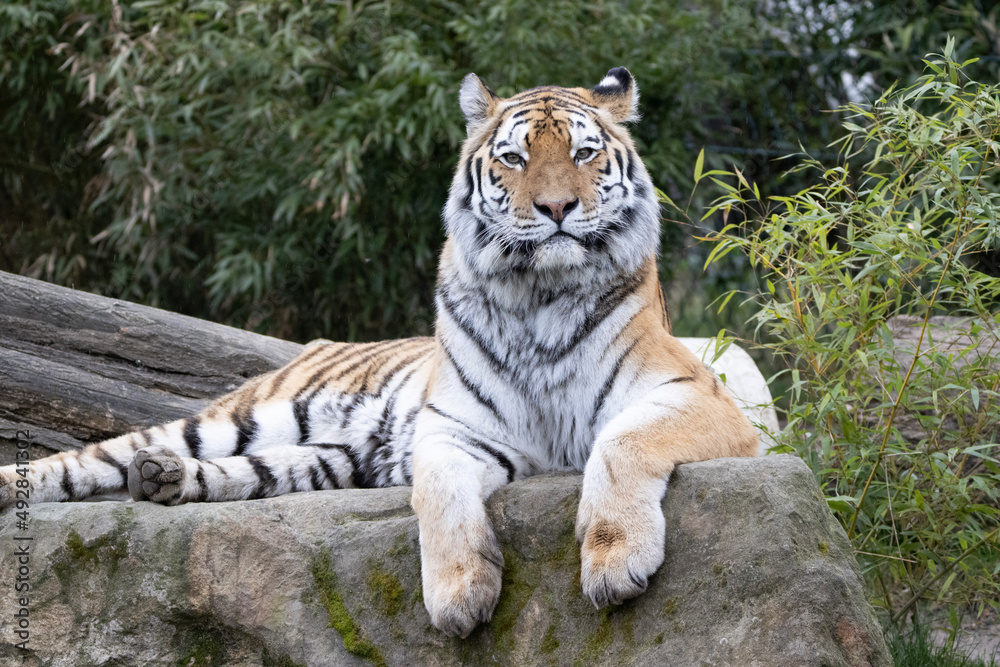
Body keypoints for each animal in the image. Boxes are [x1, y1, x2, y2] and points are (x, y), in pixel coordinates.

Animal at [0, 67, 759, 638]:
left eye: (582, 154)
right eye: (513, 158)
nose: (555, 210)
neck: (542, 296)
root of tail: (310, 343)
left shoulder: (702, 396)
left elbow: (621, 442)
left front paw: (615, 563)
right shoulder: (454, 429)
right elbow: (440, 494)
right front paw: (458, 597)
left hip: (323, 458)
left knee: (237, 472)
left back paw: (162, 479)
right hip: (242, 417)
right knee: (85, 460)